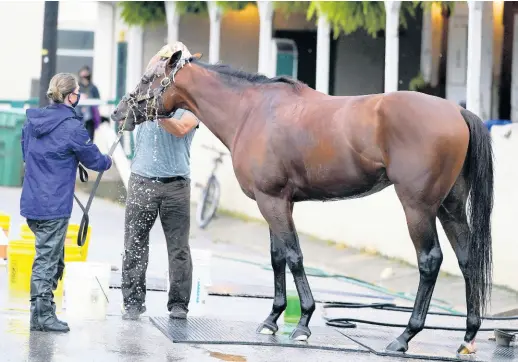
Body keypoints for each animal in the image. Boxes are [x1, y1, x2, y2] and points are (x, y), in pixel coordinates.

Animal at [112, 43, 496, 356]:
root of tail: (457, 112)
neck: (251, 111)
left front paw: (303, 323)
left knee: (430, 260)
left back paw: (404, 337)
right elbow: (277, 257)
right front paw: (272, 319)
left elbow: (294, 256)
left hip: (418, 207)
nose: (118, 113)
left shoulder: (272, 201)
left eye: (147, 78)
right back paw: (468, 336)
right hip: (449, 206)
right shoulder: (276, 201)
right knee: (467, 259)